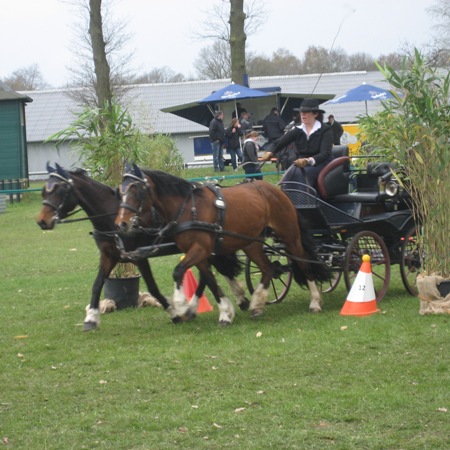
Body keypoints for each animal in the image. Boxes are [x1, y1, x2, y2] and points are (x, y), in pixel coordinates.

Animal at [116, 163, 330, 326]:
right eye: (120, 191)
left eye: (136, 190)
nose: (121, 224)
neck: (187, 209)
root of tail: (276, 190)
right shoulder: (200, 254)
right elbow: (210, 281)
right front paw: (225, 313)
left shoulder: (200, 249)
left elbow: (178, 272)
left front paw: (180, 305)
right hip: (251, 243)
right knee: (268, 268)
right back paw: (256, 304)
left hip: (290, 236)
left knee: (303, 263)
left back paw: (315, 302)